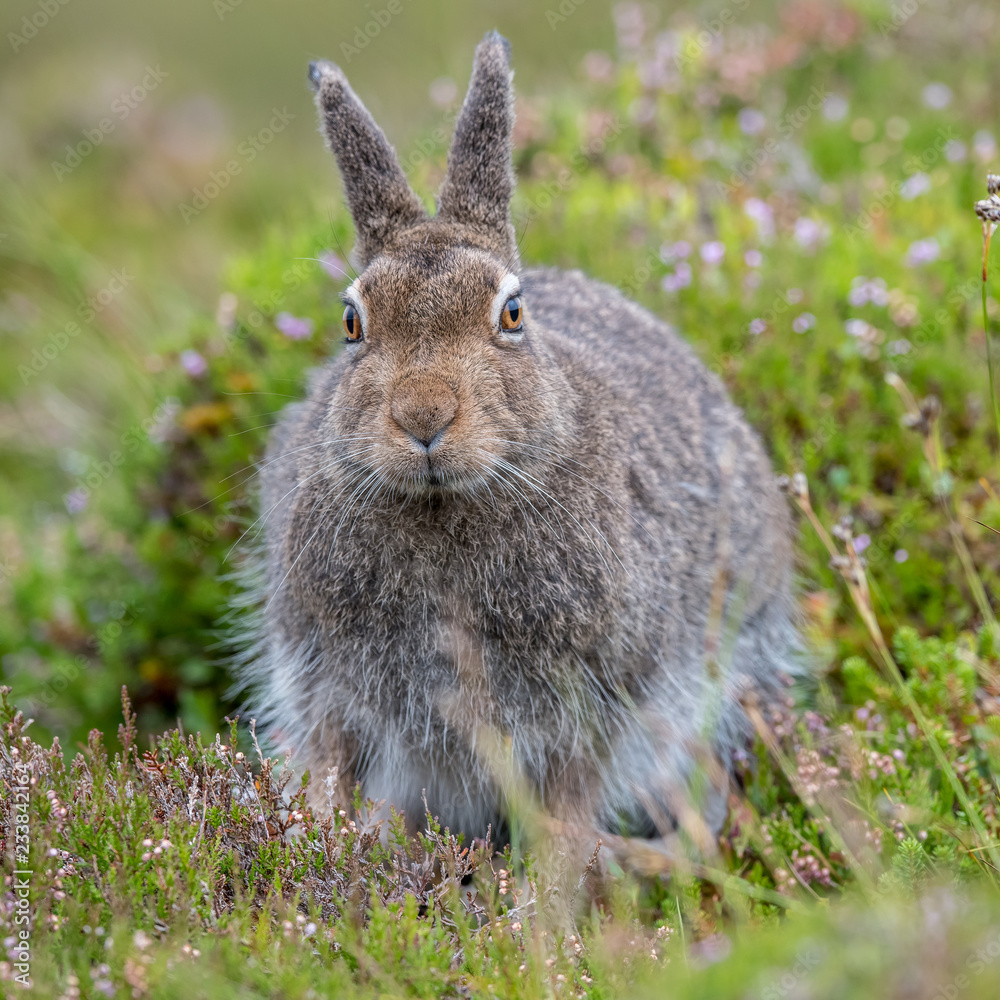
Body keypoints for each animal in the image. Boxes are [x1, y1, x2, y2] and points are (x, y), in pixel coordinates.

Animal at [238, 31, 799, 860]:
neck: (443, 507)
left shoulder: (591, 705)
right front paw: (324, 842)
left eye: (511, 313)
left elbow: (567, 802)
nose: (423, 415)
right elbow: (333, 769)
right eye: (351, 322)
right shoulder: (327, 686)